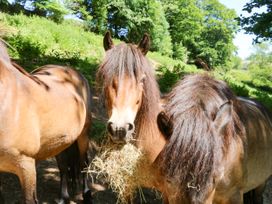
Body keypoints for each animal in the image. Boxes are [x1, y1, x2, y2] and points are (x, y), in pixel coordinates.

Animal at [0, 40, 92, 203]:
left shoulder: (26, 166)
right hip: (60, 141)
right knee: (63, 165)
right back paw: (63, 197)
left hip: (83, 136)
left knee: (83, 162)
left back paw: (86, 193)